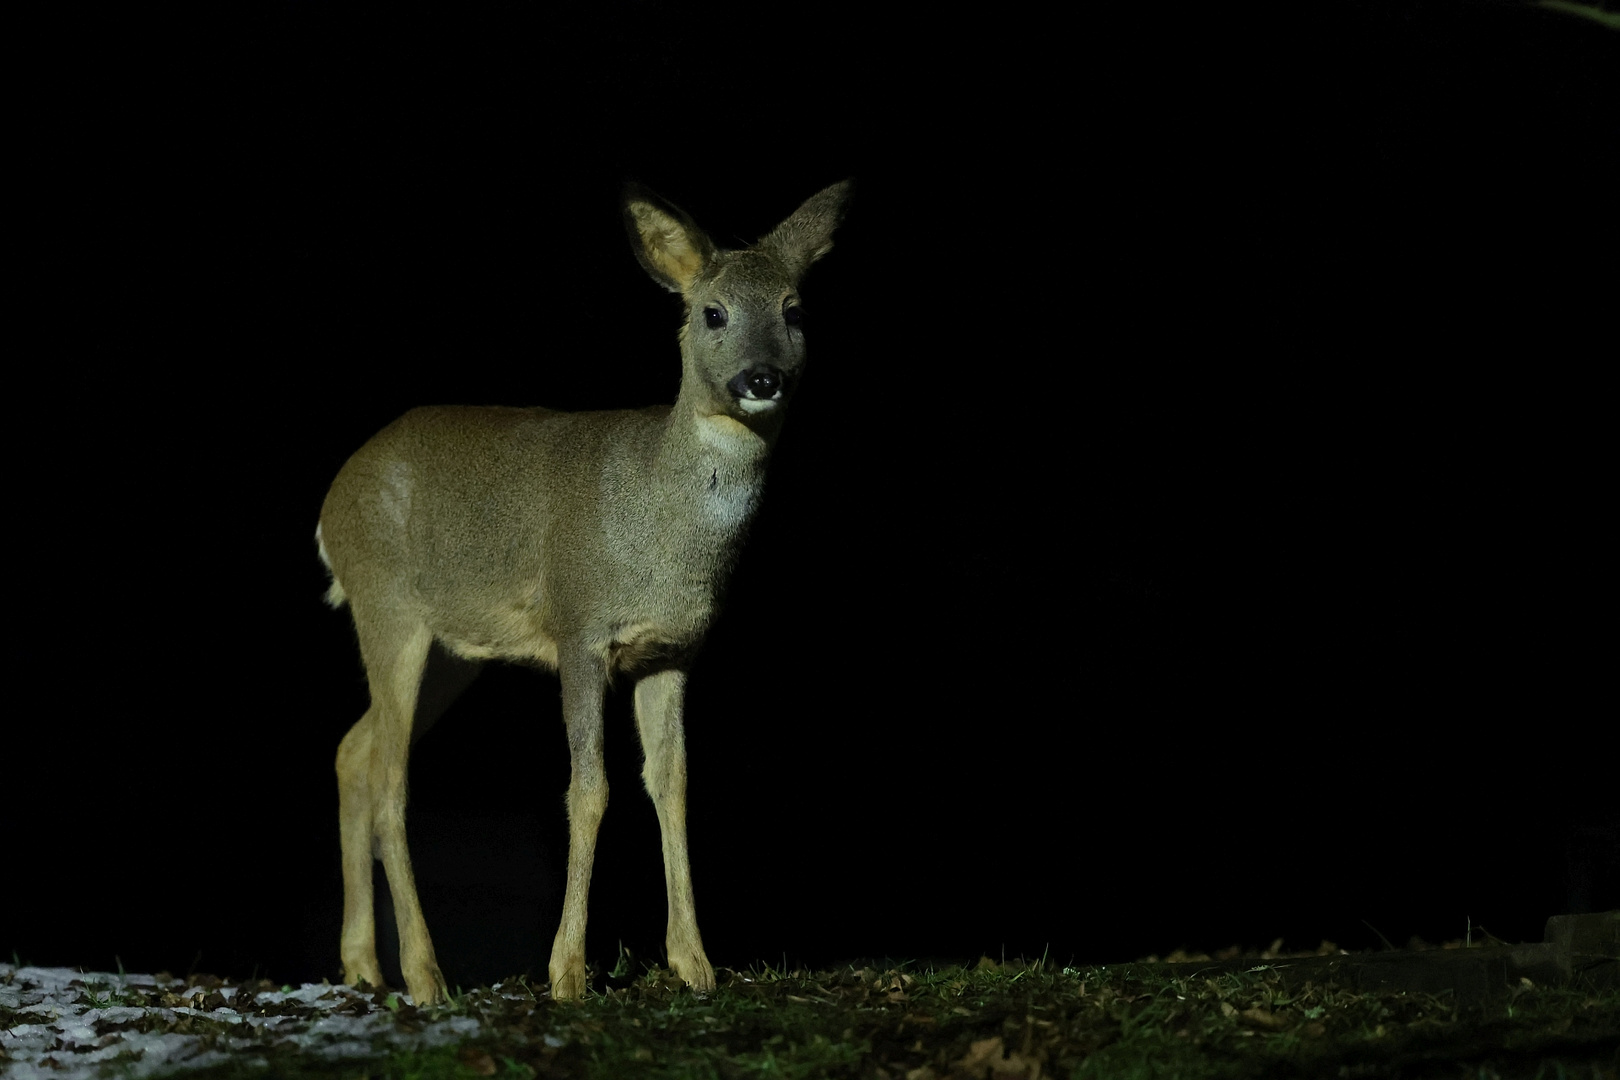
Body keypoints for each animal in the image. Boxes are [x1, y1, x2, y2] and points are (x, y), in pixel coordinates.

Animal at [311, 179, 855, 1003]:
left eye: (795, 311)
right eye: (713, 312)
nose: (761, 379)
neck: (662, 533)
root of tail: (328, 507)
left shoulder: (671, 653)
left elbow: (672, 783)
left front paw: (695, 964)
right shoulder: (579, 631)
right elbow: (589, 789)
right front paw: (567, 971)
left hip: (453, 650)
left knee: (353, 750)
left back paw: (363, 964)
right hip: (389, 608)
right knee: (387, 780)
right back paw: (425, 975)